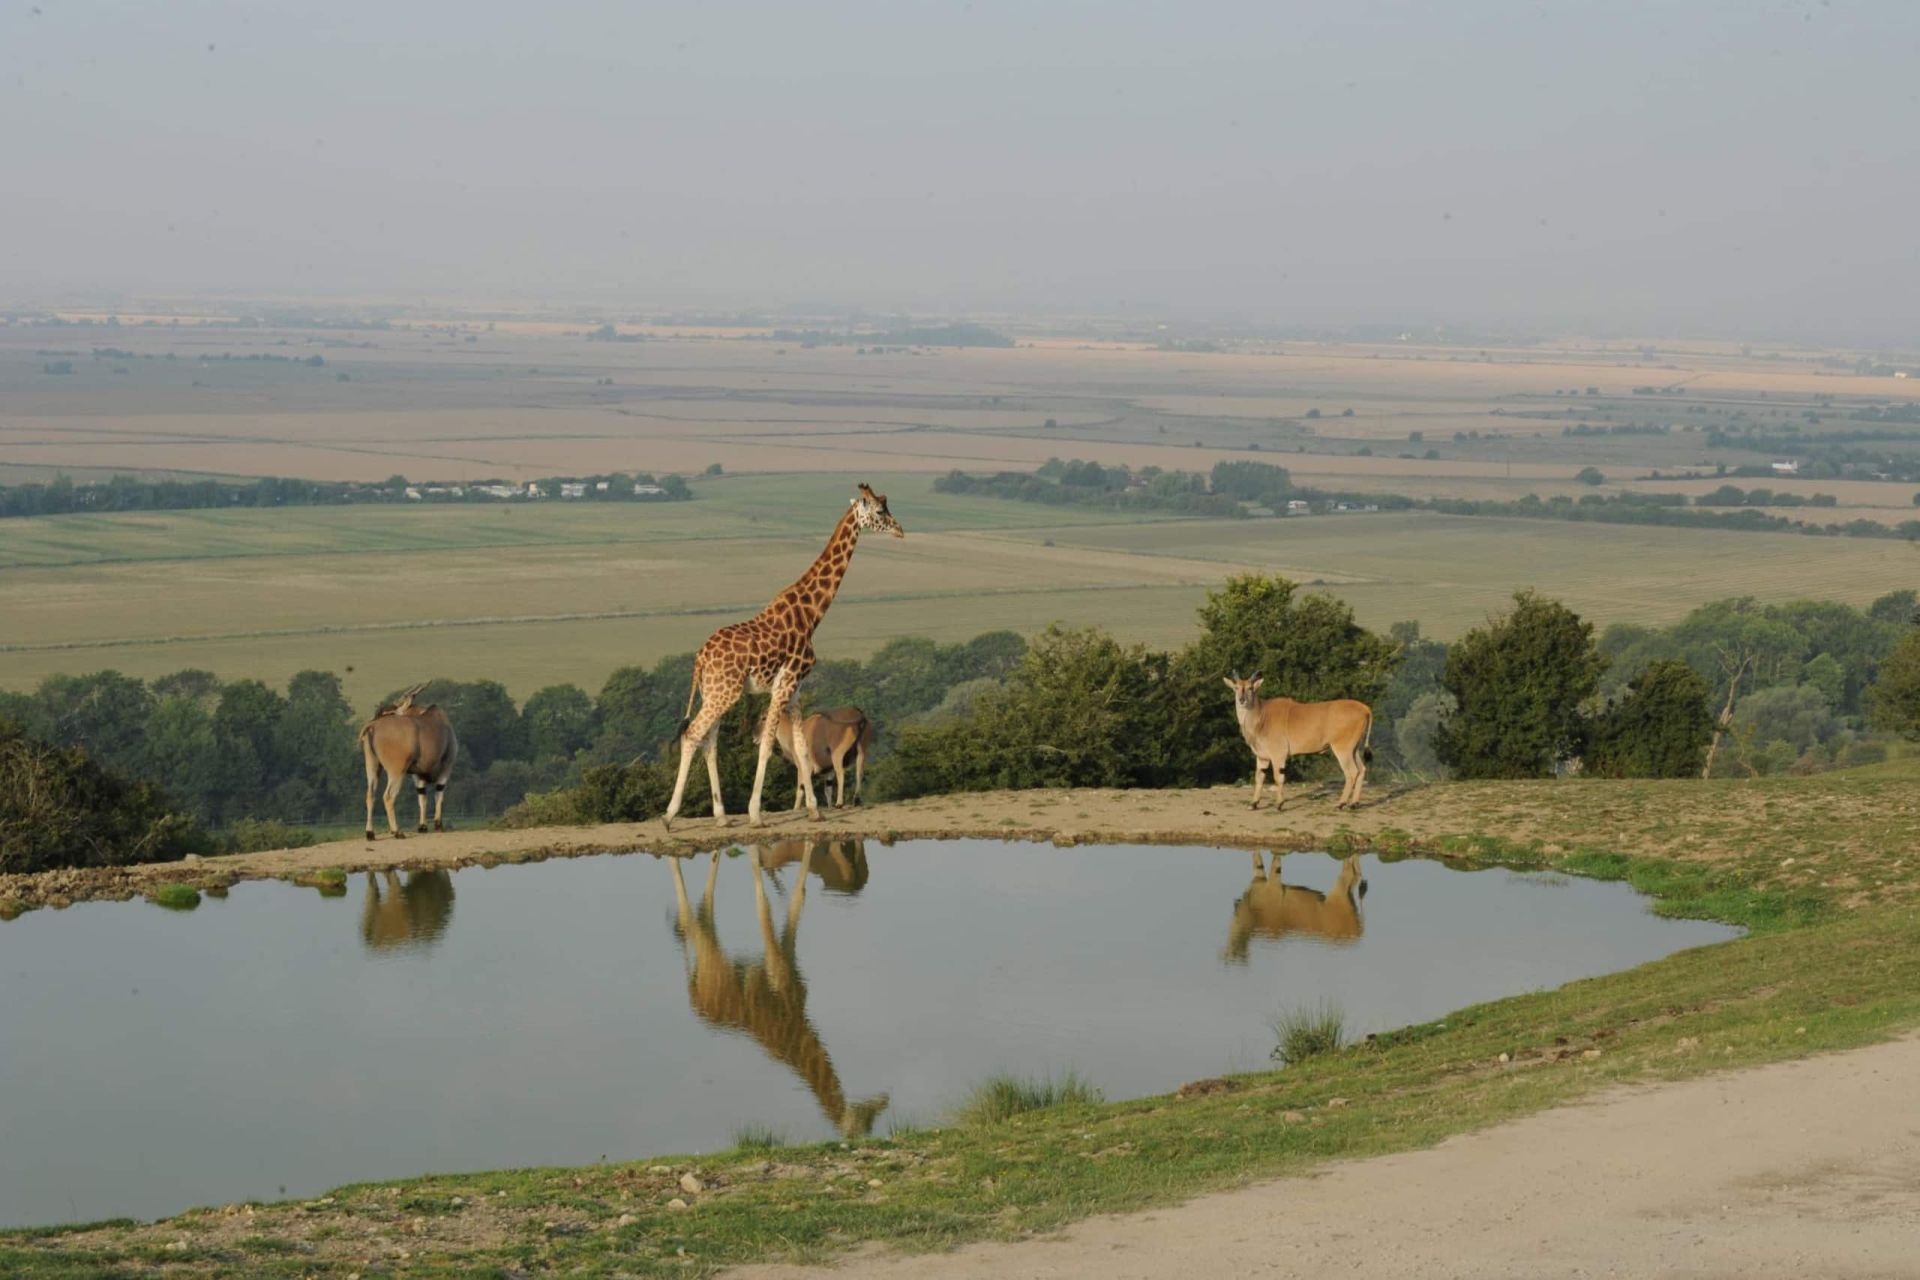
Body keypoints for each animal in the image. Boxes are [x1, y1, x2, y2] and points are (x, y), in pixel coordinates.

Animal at [662, 483, 904, 829]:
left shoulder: (796, 690)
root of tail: (699, 659)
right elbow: (766, 746)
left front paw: (815, 810)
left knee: (709, 742)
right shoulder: (783, 685)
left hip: (714, 693)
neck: (811, 615)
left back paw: (721, 816)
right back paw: (669, 816)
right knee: (693, 734)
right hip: (725, 693)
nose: (900, 530)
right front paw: (755, 814)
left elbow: (802, 748)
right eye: (881, 511)